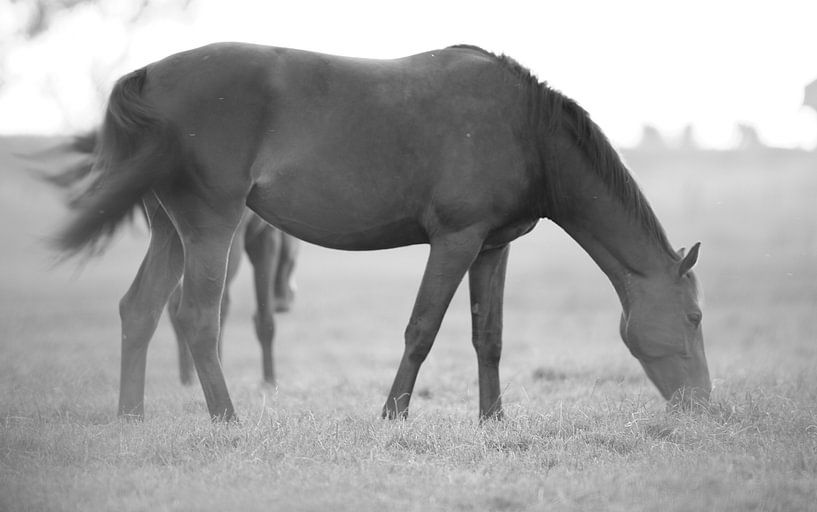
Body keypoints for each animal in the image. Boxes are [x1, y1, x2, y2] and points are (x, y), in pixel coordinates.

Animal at [46, 131, 299, 386]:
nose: (286, 299)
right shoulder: (264, 241)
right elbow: (264, 318)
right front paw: (269, 382)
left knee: (172, 303)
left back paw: (188, 378)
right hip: (220, 245)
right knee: (206, 306)